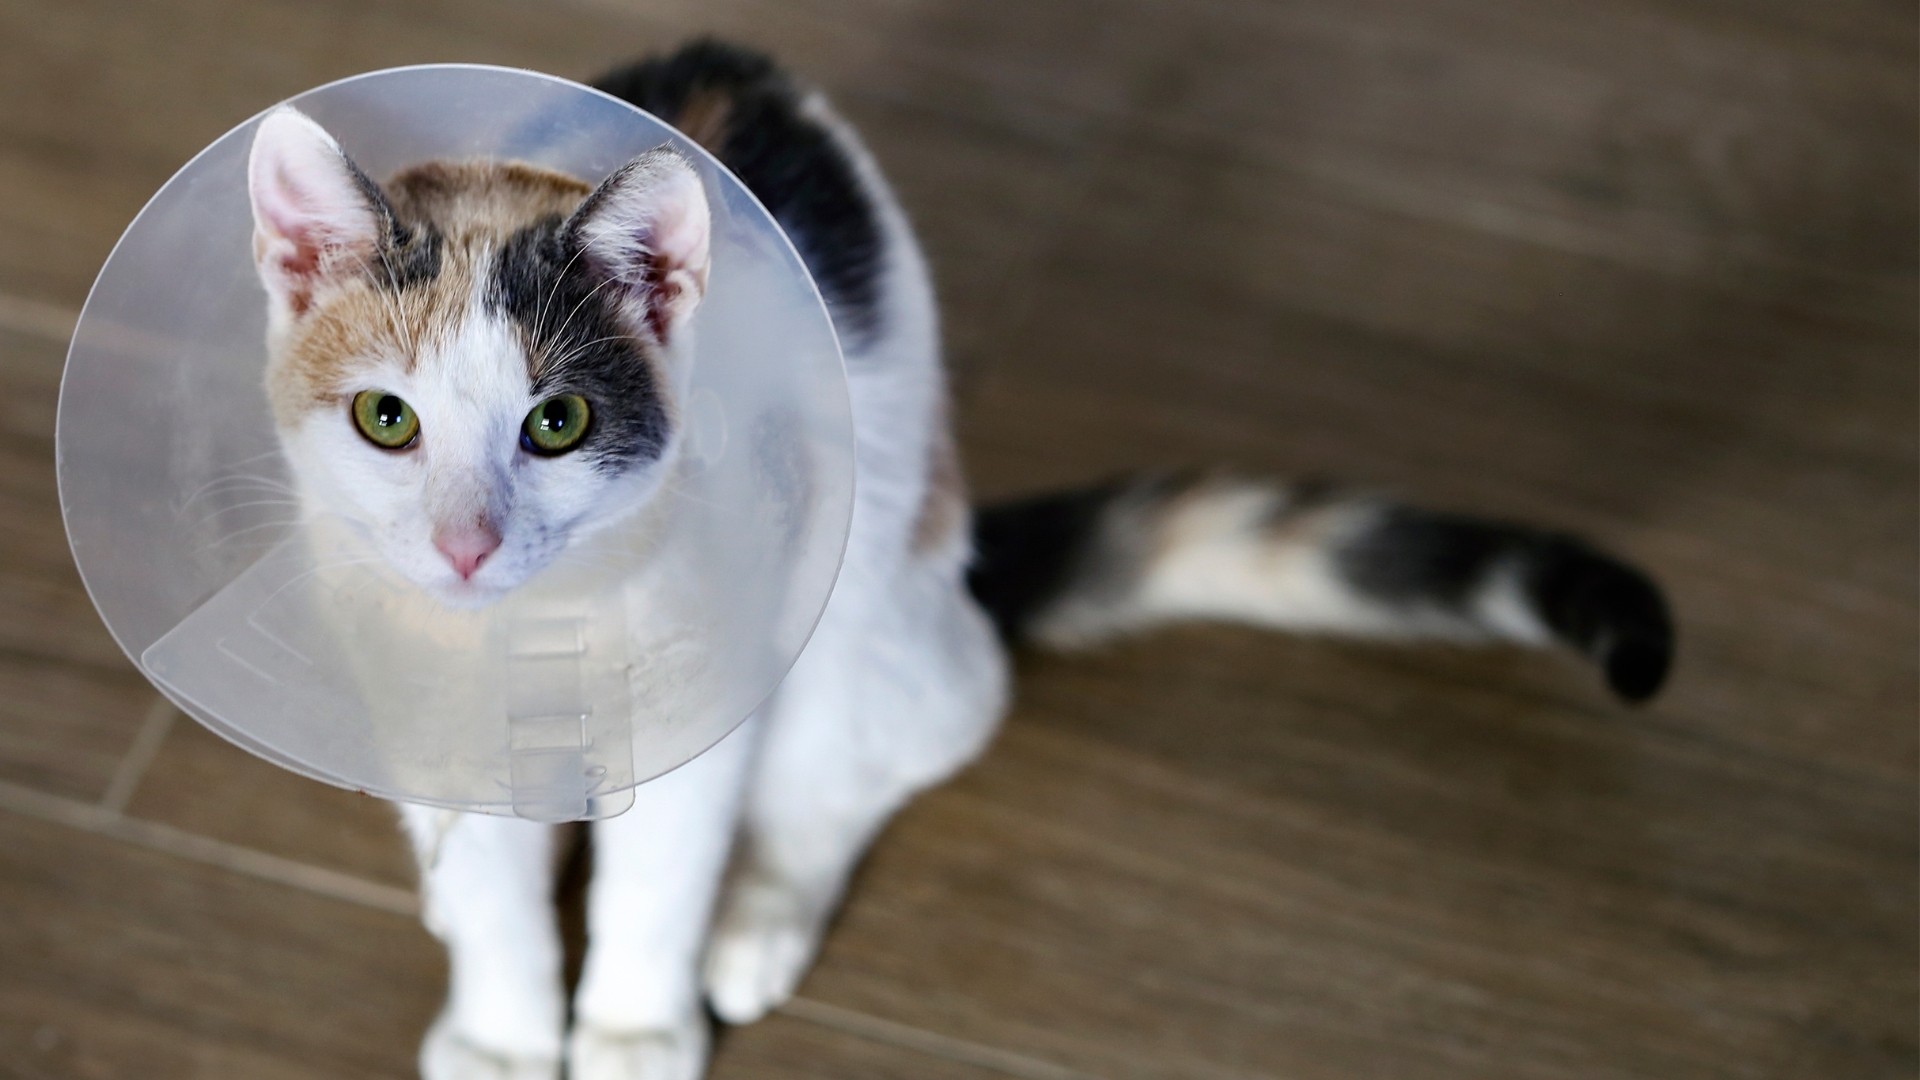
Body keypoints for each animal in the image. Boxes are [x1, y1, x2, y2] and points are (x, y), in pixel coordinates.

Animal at [247, 37, 1674, 1076]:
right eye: (388, 420)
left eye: (557, 424)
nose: (465, 544)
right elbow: (490, 891)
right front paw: (500, 1030)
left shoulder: (716, 696)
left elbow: (662, 879)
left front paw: (631, 1029)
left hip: (863, 601)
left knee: (896, 742)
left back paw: (759, 920)